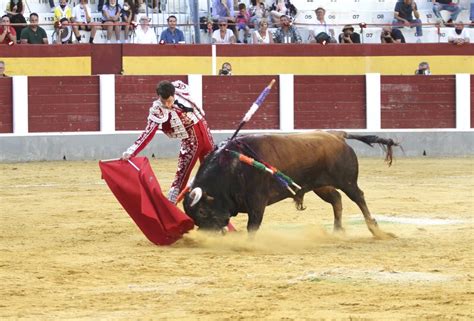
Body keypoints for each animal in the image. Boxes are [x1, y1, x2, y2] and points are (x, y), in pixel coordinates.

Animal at [183, 130, 398, 238]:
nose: (206, 237)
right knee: (336, 198)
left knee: (359, 197)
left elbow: (253, 225)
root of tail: (337, 135)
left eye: (202, 211)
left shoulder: (257, 200)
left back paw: (375, 230)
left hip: (347, 181)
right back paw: (337, 231)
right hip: (320, 185)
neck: (231, 168)